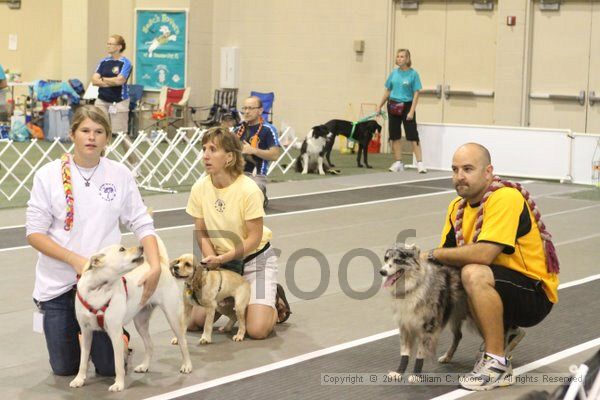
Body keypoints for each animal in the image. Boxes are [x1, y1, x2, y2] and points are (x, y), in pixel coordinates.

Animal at [70, 238, 192, 390]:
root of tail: (162, 264)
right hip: (140, 323)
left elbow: (118, 363)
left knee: (183, 342)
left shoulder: (115, 333)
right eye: (122, 249)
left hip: (172, 317)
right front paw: (79, 379)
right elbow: (83, 360)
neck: (97, 288)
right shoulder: (85, 332)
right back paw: (144, 366)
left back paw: (187, 365)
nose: (141, 247)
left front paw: (118, 384)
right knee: (150, 345)